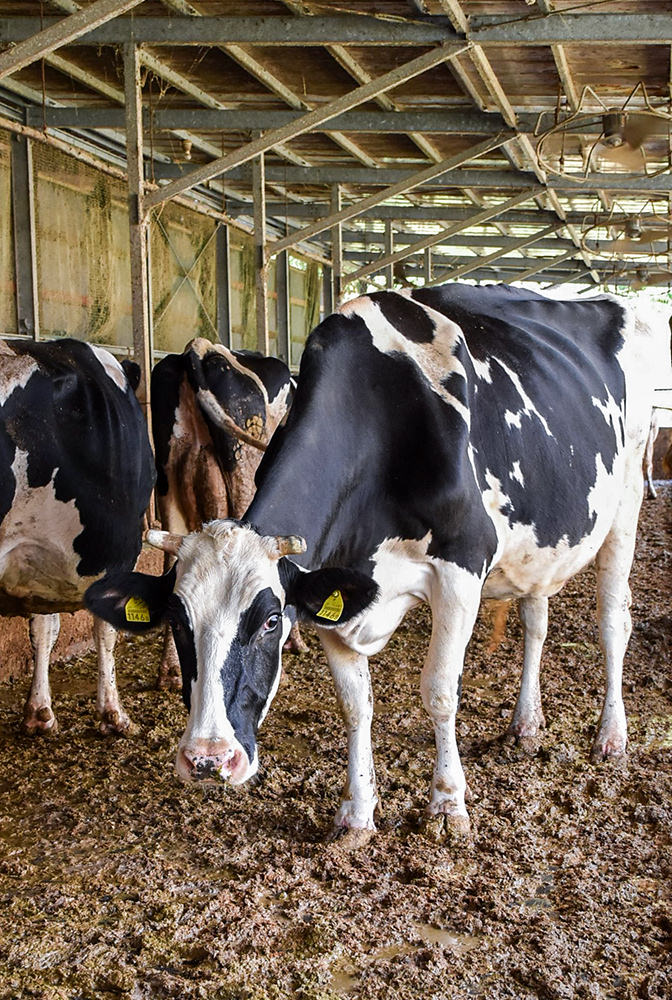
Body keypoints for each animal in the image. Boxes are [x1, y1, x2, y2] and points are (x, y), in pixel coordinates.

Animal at [0, 336, 154, 736]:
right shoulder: (116, 555)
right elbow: (106, 629)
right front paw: (113, 713)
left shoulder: (36, 558)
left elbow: (43, 629)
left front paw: (39, 711)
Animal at [86, 284, 660, 844]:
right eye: (177, 620)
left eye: (270, 621)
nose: (208, 760)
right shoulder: (332, 587)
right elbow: (355, 704)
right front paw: (358, 812)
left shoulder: (462, 568)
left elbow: (439, 691)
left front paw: (447, 804)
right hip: (541, 543)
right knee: (535, 621)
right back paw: (525, 723)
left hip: (627, 501)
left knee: (613, 622)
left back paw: (610, 736)